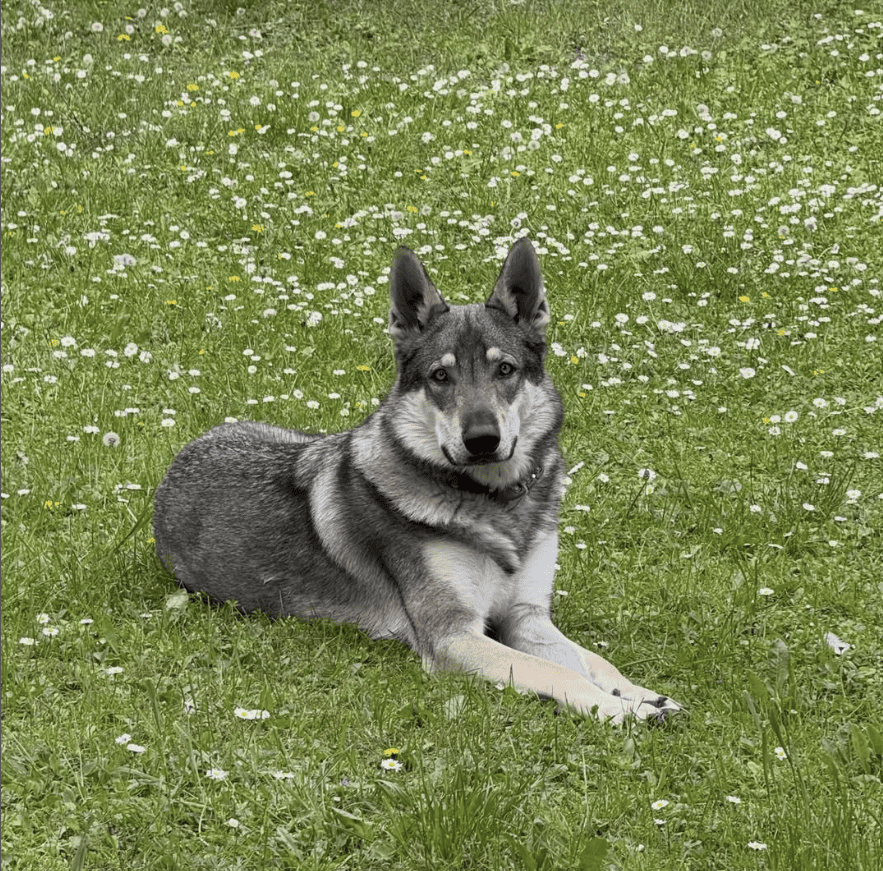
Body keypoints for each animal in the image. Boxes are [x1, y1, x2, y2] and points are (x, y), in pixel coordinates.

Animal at [154, 239, 680, 723]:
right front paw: (614, 708)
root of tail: (181, 458)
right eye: (440, 377)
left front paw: (637, 693)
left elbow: (591, 660)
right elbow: (556, 671)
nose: (482, 440)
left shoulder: (527, 616)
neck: (493, 500)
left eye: (505, 369)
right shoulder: (454, 635)